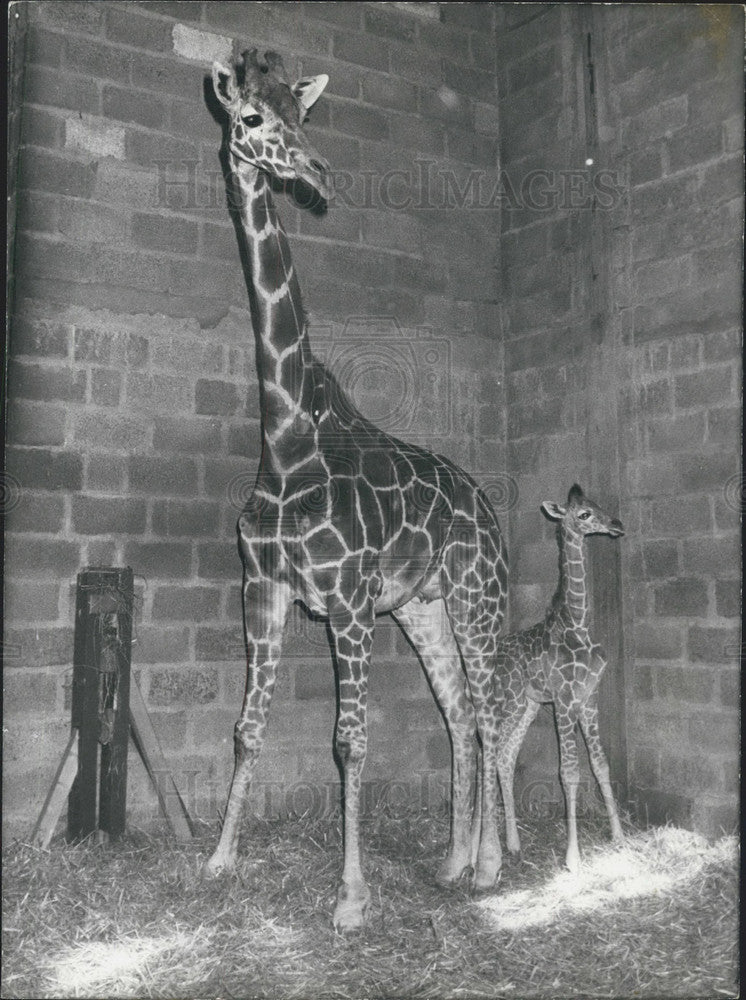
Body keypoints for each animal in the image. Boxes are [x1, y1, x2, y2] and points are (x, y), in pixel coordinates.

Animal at [205, 52, 506, 928]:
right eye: (251, 120)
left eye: (303, 117)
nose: (318, 173)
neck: (284, 441)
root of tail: (488, 509)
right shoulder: (264, 587)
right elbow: (247, 728)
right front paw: (218, 860)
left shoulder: (345, 601)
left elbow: (350, 742)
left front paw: (350, 897)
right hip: (422, 606)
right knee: (459, 711)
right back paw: (453, 862)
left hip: (476, 596)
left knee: (490, 708)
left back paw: (492, 866)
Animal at [494, 486, 620, 876]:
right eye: (583, 514)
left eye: (597, 505)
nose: (617, 525)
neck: (577, 623)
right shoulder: (565, 700)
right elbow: (569, 772)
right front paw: (573, 857)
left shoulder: (589, 698)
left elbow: (601, 764)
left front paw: (619, 836)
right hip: (509, 702)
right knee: (486, 754)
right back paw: (480, 852)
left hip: (528, 706)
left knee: (504, 757)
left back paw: (513, 844)